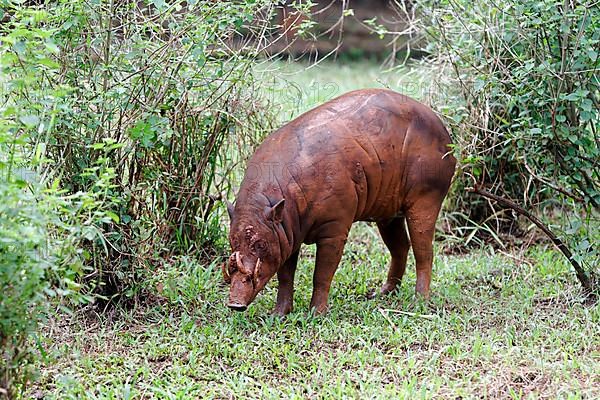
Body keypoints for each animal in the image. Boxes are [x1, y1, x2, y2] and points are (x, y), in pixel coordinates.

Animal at [224, 88, 454, 316]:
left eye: (260, 244)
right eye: (233, 241)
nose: (235, 304)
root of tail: (447, 137)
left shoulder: (335, 228)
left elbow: (322, 275)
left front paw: (316, 314)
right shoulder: (287, 235)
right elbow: (285, 276)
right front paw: (278, 315)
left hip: (427, 196)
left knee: (424, 251)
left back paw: (419, 301)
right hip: (389, 211)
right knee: (400, 247)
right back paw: (382, 293)